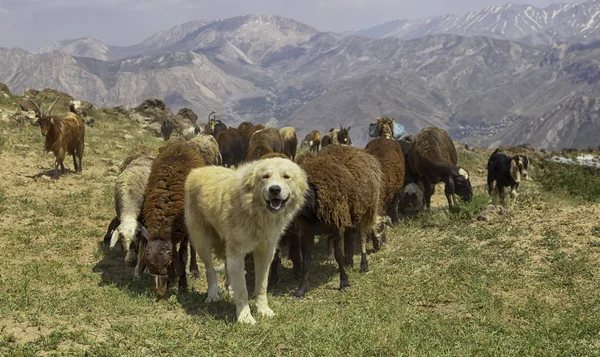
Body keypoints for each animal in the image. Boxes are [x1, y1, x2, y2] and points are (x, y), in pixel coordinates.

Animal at [140, 138, 206, 296]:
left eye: (168, 263)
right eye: (149, 265)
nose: (159, 292)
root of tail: (180, 142)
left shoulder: (185, 229)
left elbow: (183, 255)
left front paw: (183, 284)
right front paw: (172, 279)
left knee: (192, 247)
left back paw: (194, 270)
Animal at [185, 156, 310, 322]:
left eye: (286, 177)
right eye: (265, 176)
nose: (274, 189)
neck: (255, 212)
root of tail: (197, 171)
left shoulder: (265, 253)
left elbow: (261, 286)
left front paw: (263, 310)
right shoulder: (237, 253)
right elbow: (243, 290)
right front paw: (245, 317)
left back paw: (230, 288)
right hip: (202, 243)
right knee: (210, 270)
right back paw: (212, 294)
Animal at [292, 145, 384, 298]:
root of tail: (358, 150)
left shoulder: (337, 226)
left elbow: (338, 255)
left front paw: (344, 281)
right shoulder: (307, 231)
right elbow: (306, 261)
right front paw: (300, 290)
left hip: (364, 209)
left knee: (362, 235)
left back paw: (363, 264)